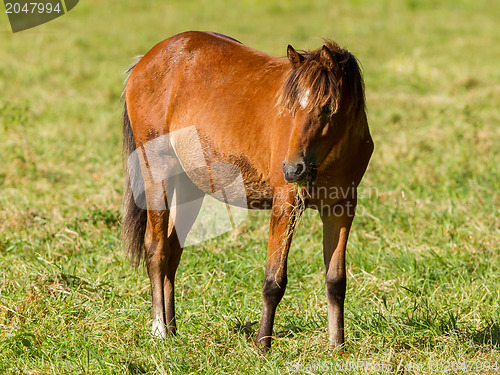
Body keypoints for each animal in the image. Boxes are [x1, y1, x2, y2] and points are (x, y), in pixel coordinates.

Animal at [121, 30, 374, 352]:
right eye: (290, 108)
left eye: (328, 108)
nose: (293, 169)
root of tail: (146, 60)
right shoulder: (286, 203)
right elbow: (274, 281)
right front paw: (262, 346)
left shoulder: (341, 208)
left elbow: (335, 280)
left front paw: (336, 347)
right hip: (157, 171)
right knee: (156, 248)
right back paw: (159, 330)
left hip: (189, 185)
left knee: (172, 250)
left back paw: (173, 328)